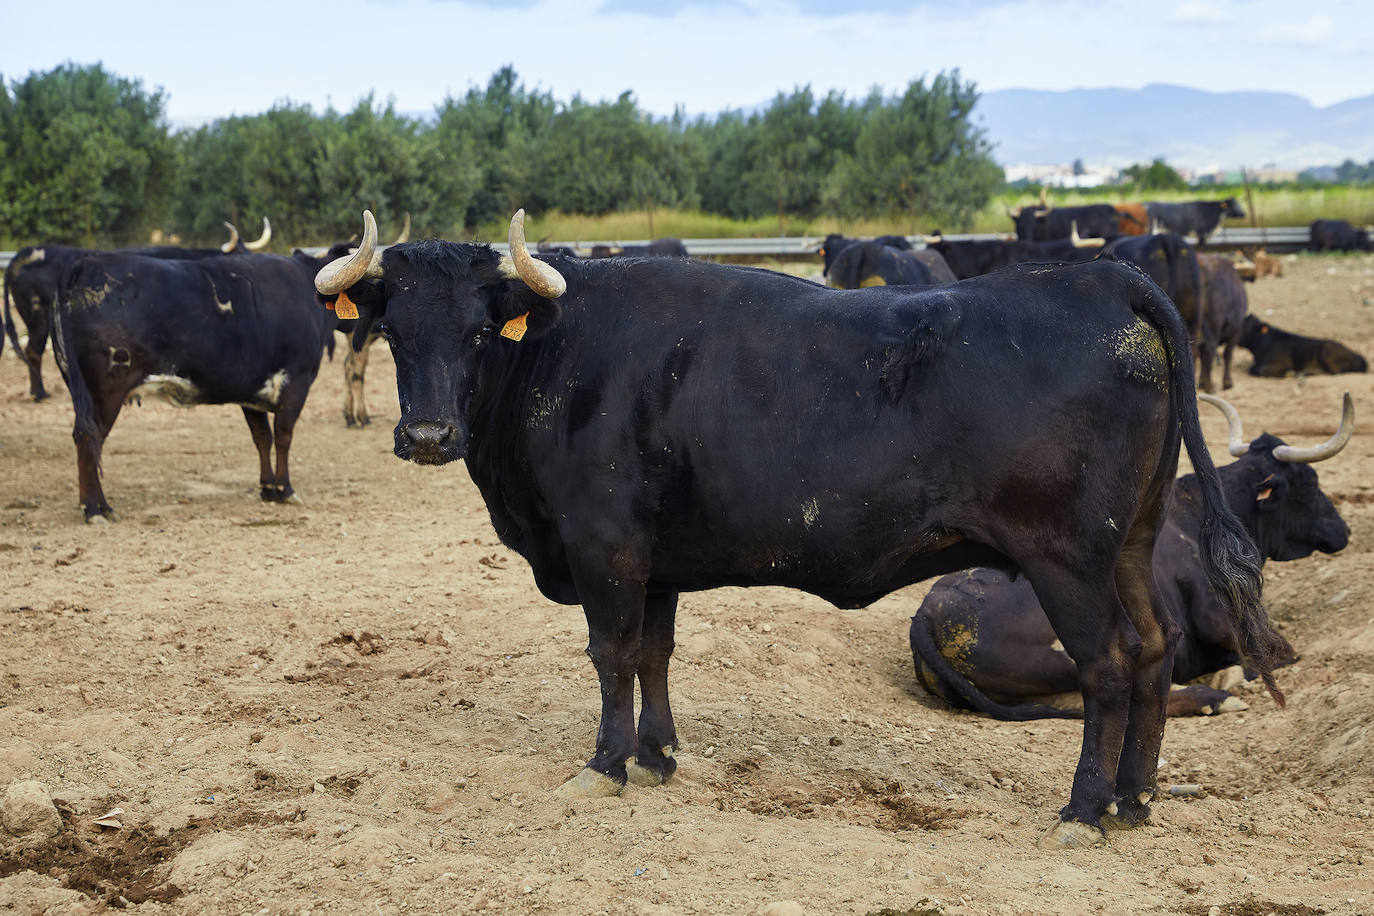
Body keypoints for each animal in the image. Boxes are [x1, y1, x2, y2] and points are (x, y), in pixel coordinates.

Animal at [52, 247, 335, 521]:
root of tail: (87, 262)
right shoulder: (297, 383)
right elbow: (283, 436)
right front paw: (285, 489)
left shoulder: (251, 392)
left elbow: (263, 438)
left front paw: (268, 489)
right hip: (106, 392)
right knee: (90, 438)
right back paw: (95, 508)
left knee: (83, 436)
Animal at [912, 395, 1352, 725]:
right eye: (1309, 482)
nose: (1344, 531)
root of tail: (928, 613)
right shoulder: (1223, 620)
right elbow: (1279, 652)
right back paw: (1216, 696)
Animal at [1198, 254, 1253, 390]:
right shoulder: (1236, 331)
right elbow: (1228, 354)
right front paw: (1227, 382)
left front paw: (1201, 381)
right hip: (1214, 326)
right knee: (1209, 351)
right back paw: (1209, 385)